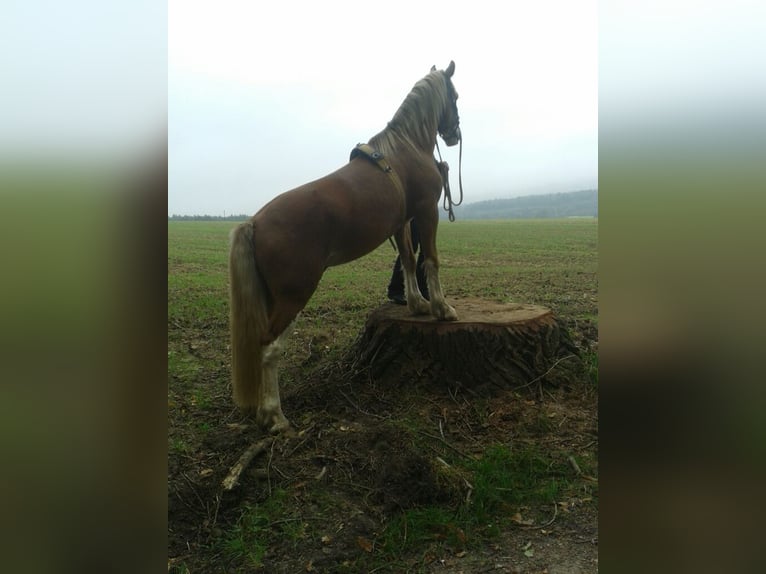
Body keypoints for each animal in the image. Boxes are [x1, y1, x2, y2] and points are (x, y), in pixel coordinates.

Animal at [228, 60, 462, 434]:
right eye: (455, 96)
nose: (454, 134)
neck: (406, 147)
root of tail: (254, 223)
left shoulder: (402, 221)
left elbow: (408, 260)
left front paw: (417, 304)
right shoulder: (426, 211)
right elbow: (431, 260)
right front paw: (441, 307)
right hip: (293, 297)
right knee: (269, 348)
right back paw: (275, 417)